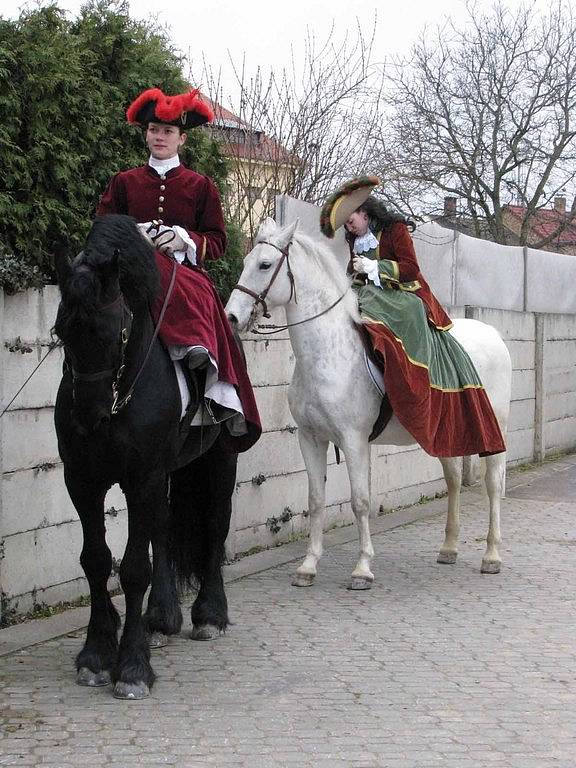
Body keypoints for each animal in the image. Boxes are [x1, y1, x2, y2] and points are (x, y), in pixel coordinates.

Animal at [54, 213, 241, 700]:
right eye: (62, 331)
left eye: (114, 328)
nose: (89, 418)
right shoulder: (82, 480)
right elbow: (96, 560)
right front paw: (96, 653)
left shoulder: (142, 477)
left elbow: (134, 567)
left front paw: (133, 665)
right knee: (162, 526)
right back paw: (161, 618)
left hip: (219, 460)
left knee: (216, 523)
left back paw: (209, 615)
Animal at [226, 219, 512, 592]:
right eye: (247, 261)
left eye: (264, 264)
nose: (231, 316)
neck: (329, 353)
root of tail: (493, 333)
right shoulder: (310, 438)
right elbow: (315, 501)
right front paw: (308, 566)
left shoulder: (354, 440)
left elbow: (360, 501)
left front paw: (362, 569)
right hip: (448, 432)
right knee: (452, 480)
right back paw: (449, 548)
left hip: (494, 431)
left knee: (494, 485)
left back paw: (491, 555)